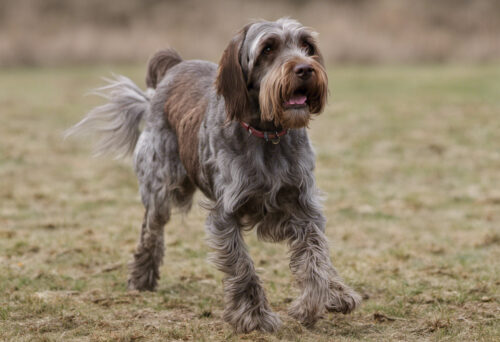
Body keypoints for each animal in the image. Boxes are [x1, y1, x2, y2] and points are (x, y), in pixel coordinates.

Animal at [68, 17, 362, 332]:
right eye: (268, 48)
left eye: (307, 45)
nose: (305, 69)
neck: (267, 135)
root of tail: (175, 67)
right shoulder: (225, 214)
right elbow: (242, 266)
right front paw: (255, 316)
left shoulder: (303, 206)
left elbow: (316, 257)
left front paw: (317, 300)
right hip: (160, 187)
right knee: (151, 231)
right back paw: (141, 276)